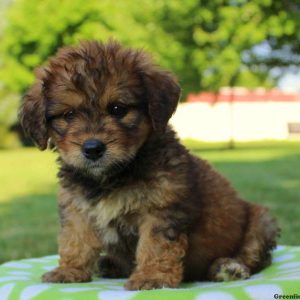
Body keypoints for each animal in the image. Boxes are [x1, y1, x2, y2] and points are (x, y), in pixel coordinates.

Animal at [19, 39, 280, 290]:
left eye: (118, 109)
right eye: (69, 115)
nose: (92, 149)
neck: (112, 176)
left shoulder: (162, 209)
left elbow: (155, 245)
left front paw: (152, 277)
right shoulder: (77, 209)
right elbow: (75, 240)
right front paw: (70, 270)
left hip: (261, 221)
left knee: (255, 257)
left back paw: (228, 267)